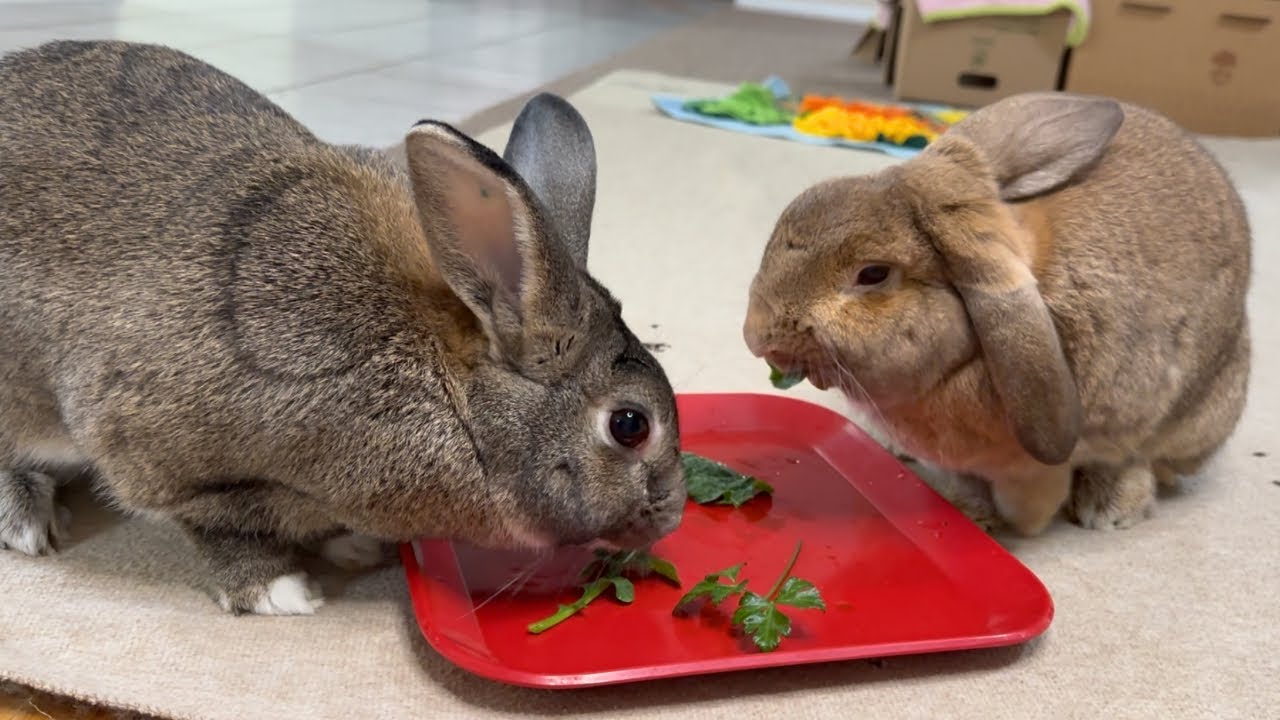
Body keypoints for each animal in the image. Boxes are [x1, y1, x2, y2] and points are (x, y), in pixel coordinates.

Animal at [0, 40, 686, 615]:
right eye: (630, 425)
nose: (673, 516)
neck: (456, 396)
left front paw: (355, 548)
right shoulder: (167, 461)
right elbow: (217, 528)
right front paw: (281, 592)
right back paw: (27, 522)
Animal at [743, 91, 1251, 537]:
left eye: (872, 274)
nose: (756, 337)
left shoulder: (1035, 466)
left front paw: (1012, 525)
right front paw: (969, 512)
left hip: (1193, 416)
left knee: (1142, 460)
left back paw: (1108, 511)